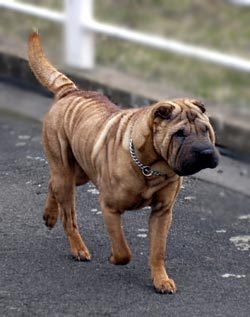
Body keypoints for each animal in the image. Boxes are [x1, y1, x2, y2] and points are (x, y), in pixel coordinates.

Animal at [27, 32, 219, 294]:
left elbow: (158, 250)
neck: (151, 167)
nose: (206, 152)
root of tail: (70, 91)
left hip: (79, 172)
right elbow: (122, 249)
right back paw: (78, 248)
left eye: (206, 130)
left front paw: (161, 280)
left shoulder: (162, 212)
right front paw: (113, 258)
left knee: (52, 184)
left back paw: (49, 216)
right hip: (66, 172)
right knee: (69, 216)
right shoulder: (110, 207)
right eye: (179, 134)